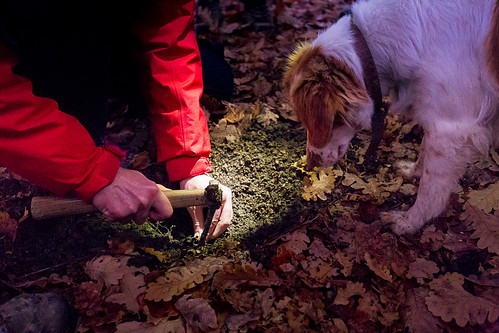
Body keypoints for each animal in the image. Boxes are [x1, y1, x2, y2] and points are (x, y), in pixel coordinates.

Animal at [286, 0, 499, 233]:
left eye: (317, 122)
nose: (309, 165)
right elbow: (424, 148)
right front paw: (413, 171)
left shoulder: (450, 127)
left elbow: (430, 188)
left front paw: (409, 223)